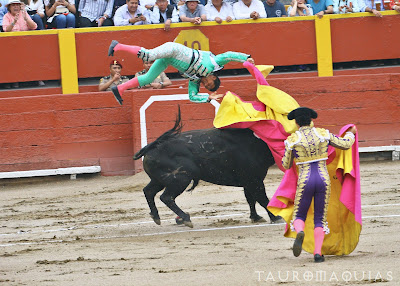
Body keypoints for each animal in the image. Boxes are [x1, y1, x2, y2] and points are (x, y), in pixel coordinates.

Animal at [134, 111, 282, 228]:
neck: (257, 142)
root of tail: (152, 147)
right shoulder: (254, 179)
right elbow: (262, 198)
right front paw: (276, 218)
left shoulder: (250, 180)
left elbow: (251, 198)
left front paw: (256, 217)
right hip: (180, 179)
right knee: (167, 197)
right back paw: (186, 218)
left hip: (159, 180)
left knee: (148, 191)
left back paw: (156, 217)